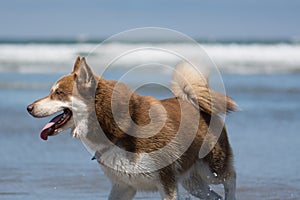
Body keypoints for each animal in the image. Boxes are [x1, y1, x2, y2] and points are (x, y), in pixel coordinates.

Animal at [28, 56, 239, 200]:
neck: (119, 129)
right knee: (214, 196)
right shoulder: (123, 186)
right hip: (192, 182)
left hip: (212, 169)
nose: (28, 108)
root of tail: (193, 102)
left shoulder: (167, 183)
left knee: (230, 178)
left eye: (58, 93)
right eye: (52, 92)